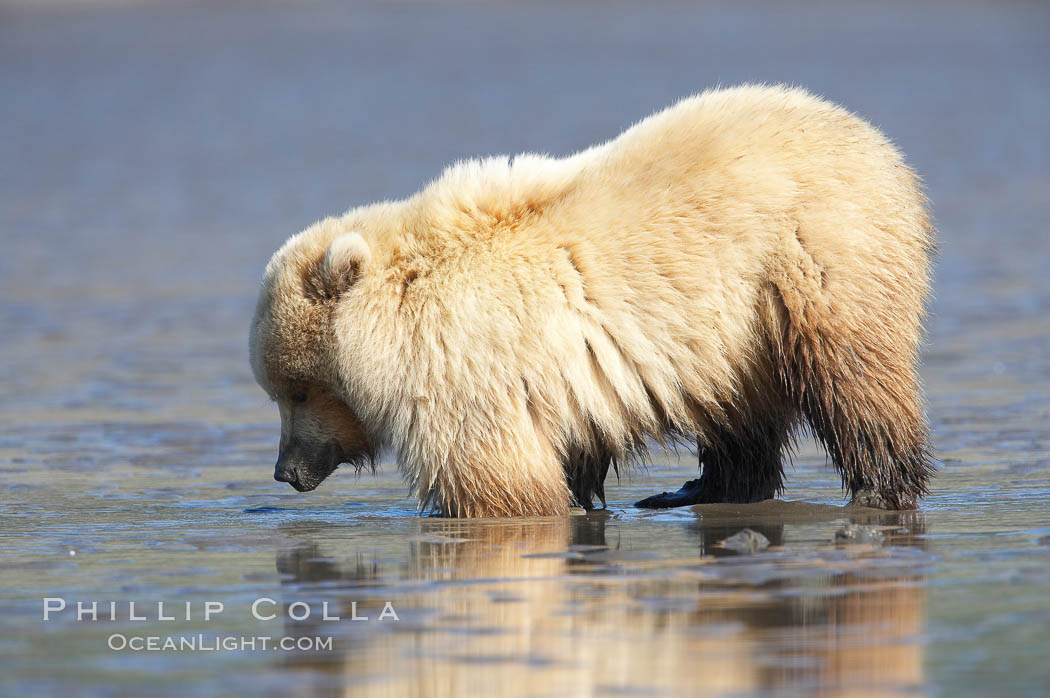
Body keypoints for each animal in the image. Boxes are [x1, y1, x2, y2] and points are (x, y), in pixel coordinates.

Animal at [251, 84, 936, 514]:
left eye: (298, 390)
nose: (286, 470)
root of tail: (877, 141)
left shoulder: (465, 361)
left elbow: (495, 479)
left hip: (813, 261)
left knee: (853, 375)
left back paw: (878, 486)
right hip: (738, 335)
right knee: (739, 408)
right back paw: (697, 489)